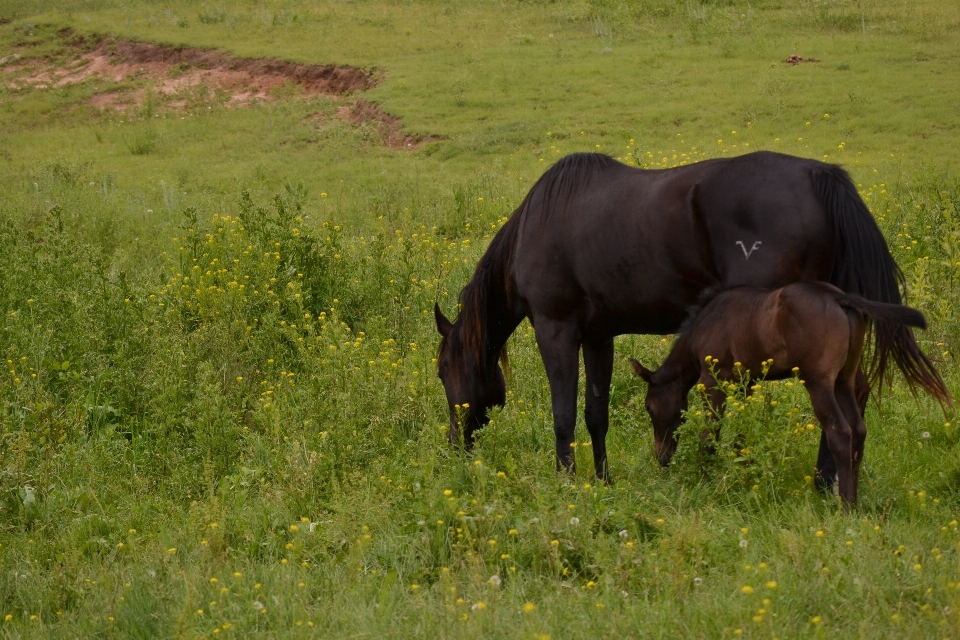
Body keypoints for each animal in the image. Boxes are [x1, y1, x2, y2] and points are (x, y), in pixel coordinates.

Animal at [436, 151, 944, 484]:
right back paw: (831, 482)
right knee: (853, 392)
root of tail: (821, 174)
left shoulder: (555, 328)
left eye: (443, 372)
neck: (536, 224)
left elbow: (562, 414)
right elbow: (595, 413)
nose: (455, 444)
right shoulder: (599, 336)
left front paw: (566, 483)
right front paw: (601, 481)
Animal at [628, 282, 948, 508]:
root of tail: (842, 299)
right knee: (858, 429)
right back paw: (854, 500)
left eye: (649, 406)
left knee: (840, 431)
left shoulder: (713, 379)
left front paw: (705, 479)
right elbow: (742, 433)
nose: (662, 457)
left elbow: (710, 434)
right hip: (843, 379)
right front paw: (743, 472)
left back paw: (845, 507)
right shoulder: (748, 382)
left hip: (818, 380)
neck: (701, 327)